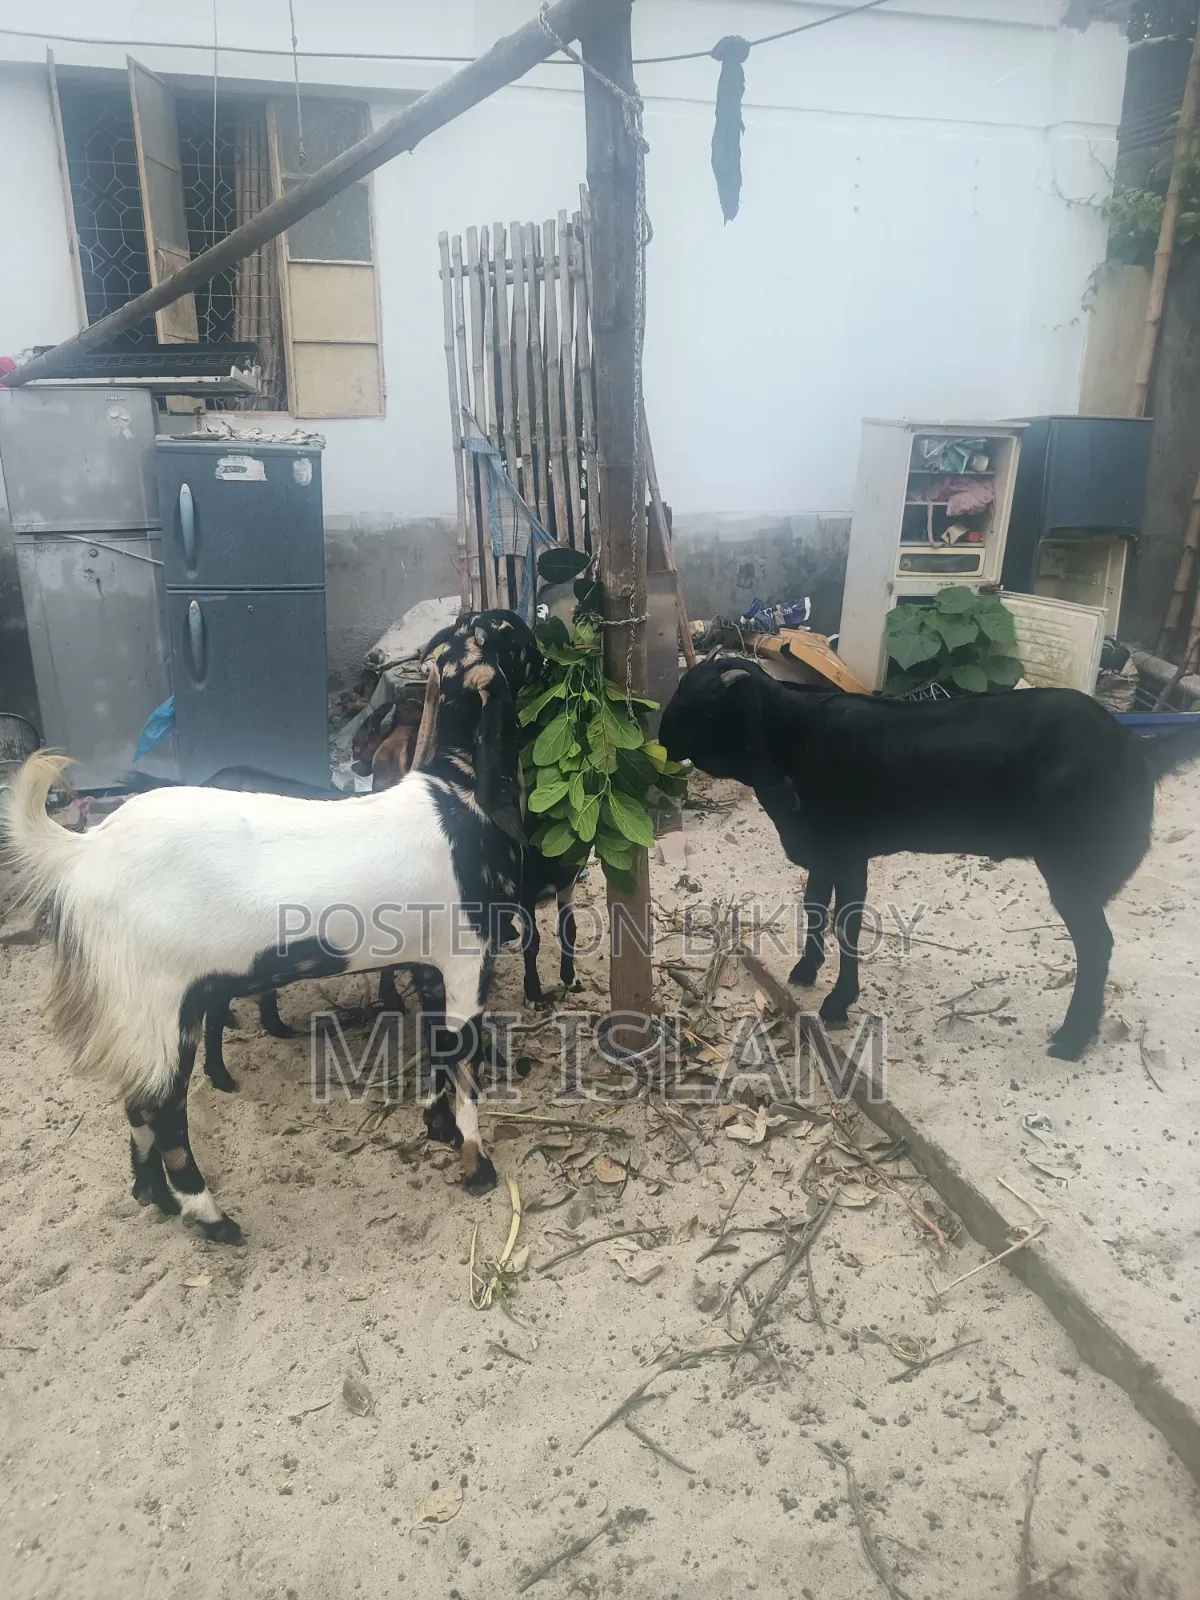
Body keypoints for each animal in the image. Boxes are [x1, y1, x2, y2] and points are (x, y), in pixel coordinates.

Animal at [5, 611, 541, 1242]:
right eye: (514, 636)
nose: (549, 643)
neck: (457, 795)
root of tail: (84, 851)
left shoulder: (428, 961)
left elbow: (435, 1046)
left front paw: (439, 1128)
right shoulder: (466, 956)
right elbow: (461, 1057)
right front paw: (477, 1165)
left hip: (140, 1011)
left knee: (138, 1102)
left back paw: (153, 1196)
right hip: (158, 1001)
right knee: (164, 1112)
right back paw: (211, 1218)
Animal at [659, 657, 1200, 1060]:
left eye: (702, 705)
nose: (661, 737)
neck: (794, 738)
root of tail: (1136, 748)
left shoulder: (851, 852)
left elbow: (846, 922)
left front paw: (837, 1003)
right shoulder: (823, 851)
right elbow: (814, 907)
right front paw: (806, 971)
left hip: (1074, 870)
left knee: (1097, 946)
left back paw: (1071, 1039)